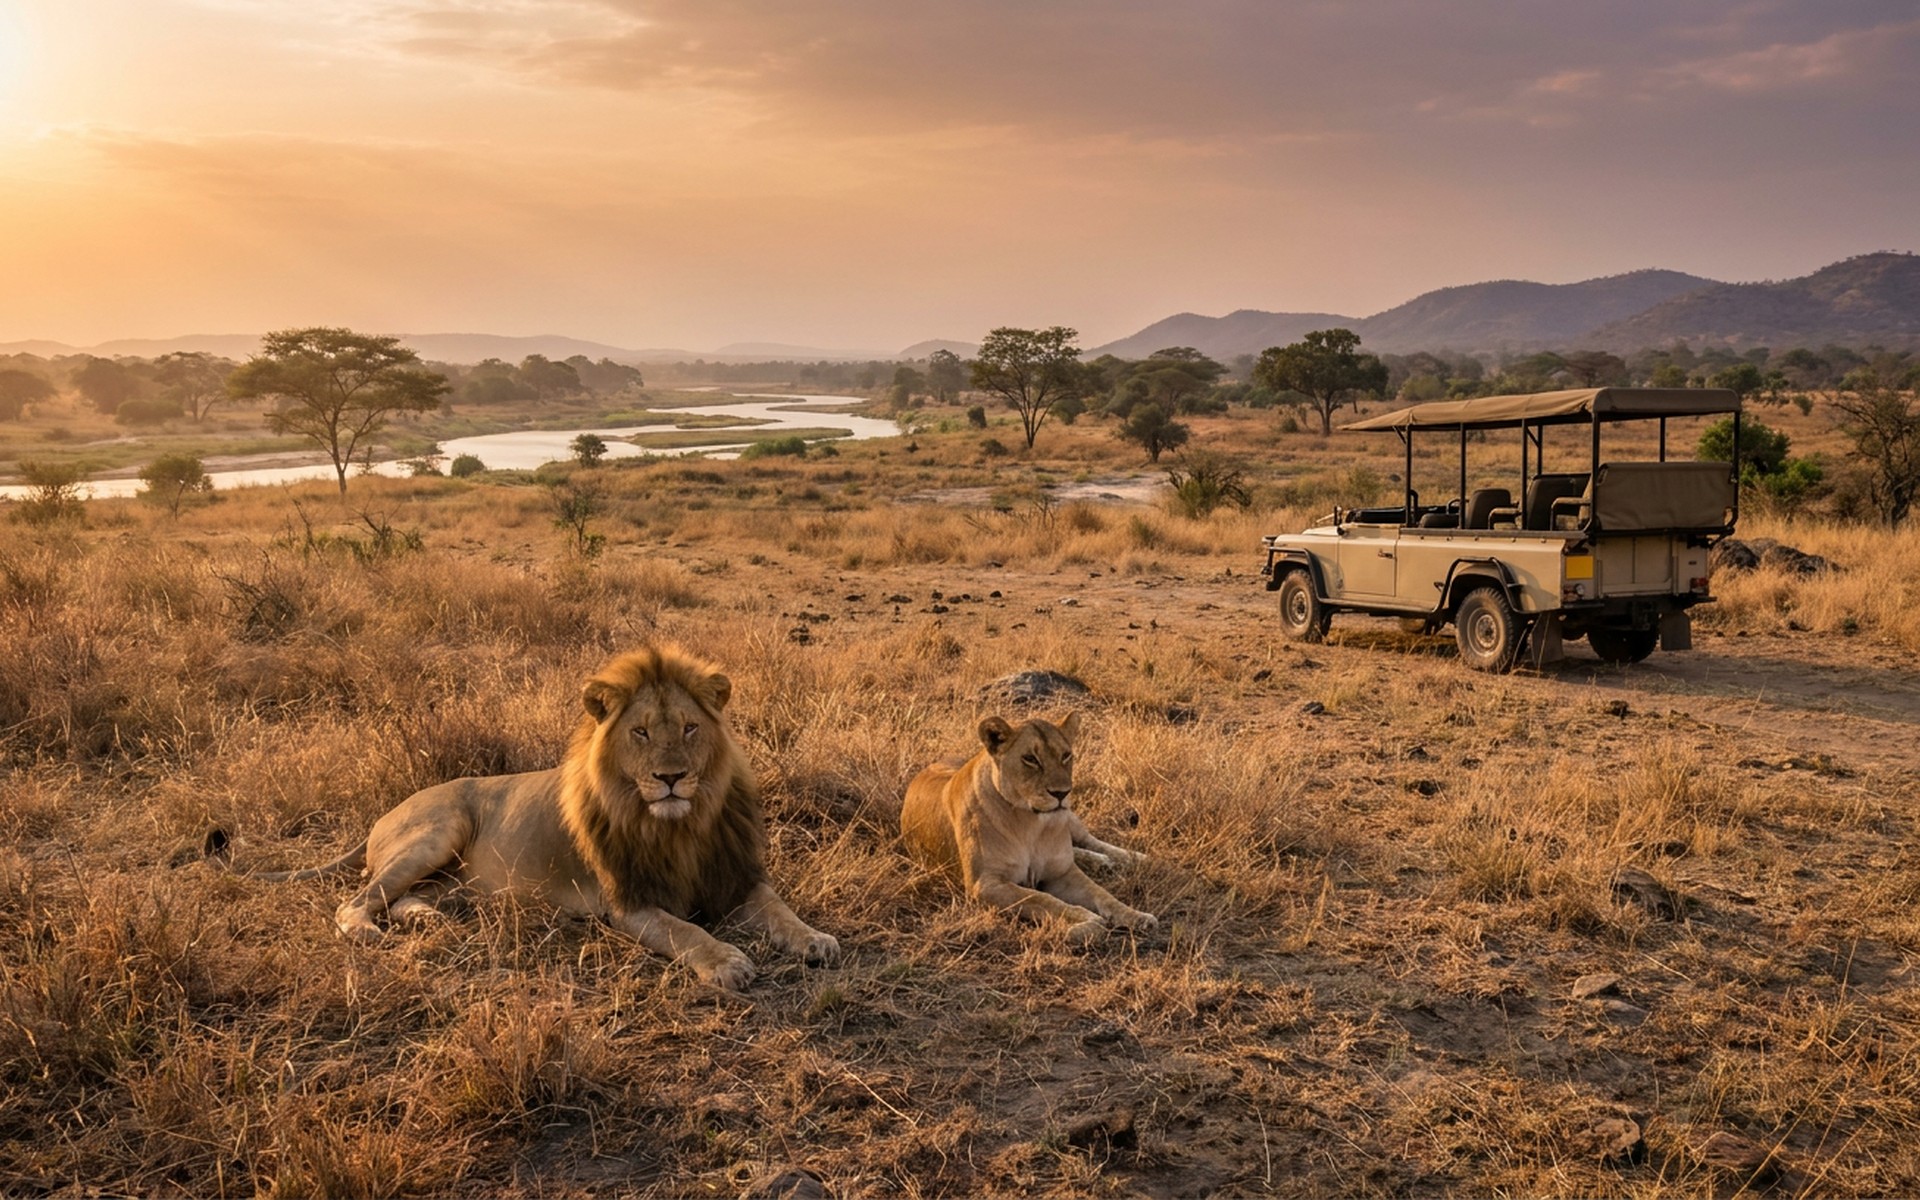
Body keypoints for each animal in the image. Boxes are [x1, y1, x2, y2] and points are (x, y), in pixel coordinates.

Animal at [230, 646, 838, 990]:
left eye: (689, 728)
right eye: (641, 732)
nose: (671, 777)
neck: (679, 826)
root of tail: (383, 815)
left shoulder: (735, 878)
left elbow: (781, 911)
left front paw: (816, 940)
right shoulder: (630, 904)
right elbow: (686, 930)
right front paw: (726, 962)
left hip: (449, 872)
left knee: (402, 896)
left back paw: (429, 920)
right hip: (439, 829)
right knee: (353, 901)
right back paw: (372, 932)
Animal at [901, 712, 1155, 944]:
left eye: (1066, 755)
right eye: (1030, 759)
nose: (1062, 793)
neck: (1031, 824)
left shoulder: (1063, 872)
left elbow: (1103, 894)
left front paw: (1138, 916)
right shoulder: (985, 884)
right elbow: (1041, 899)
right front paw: (1088, 922)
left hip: (1072, 820)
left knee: (1090, 840)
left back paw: (1133, 859)